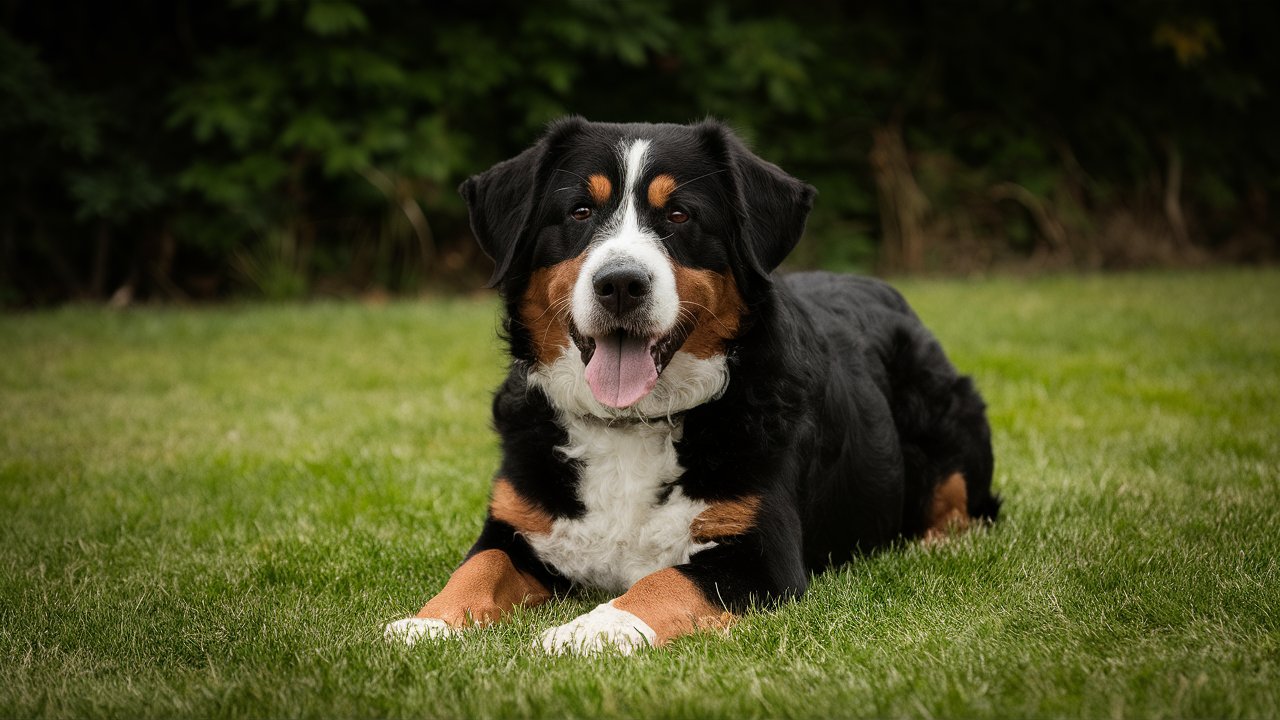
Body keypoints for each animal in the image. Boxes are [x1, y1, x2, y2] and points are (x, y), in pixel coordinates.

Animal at [378, 116, 998, 650]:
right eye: (579, 211)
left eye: (678, 215)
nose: (620, 283)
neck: (630, 426)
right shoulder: (517, 528)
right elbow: (477, 569)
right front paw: (424, 625)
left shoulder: (761, 556)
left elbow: (663, 581)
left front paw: (590, 630)